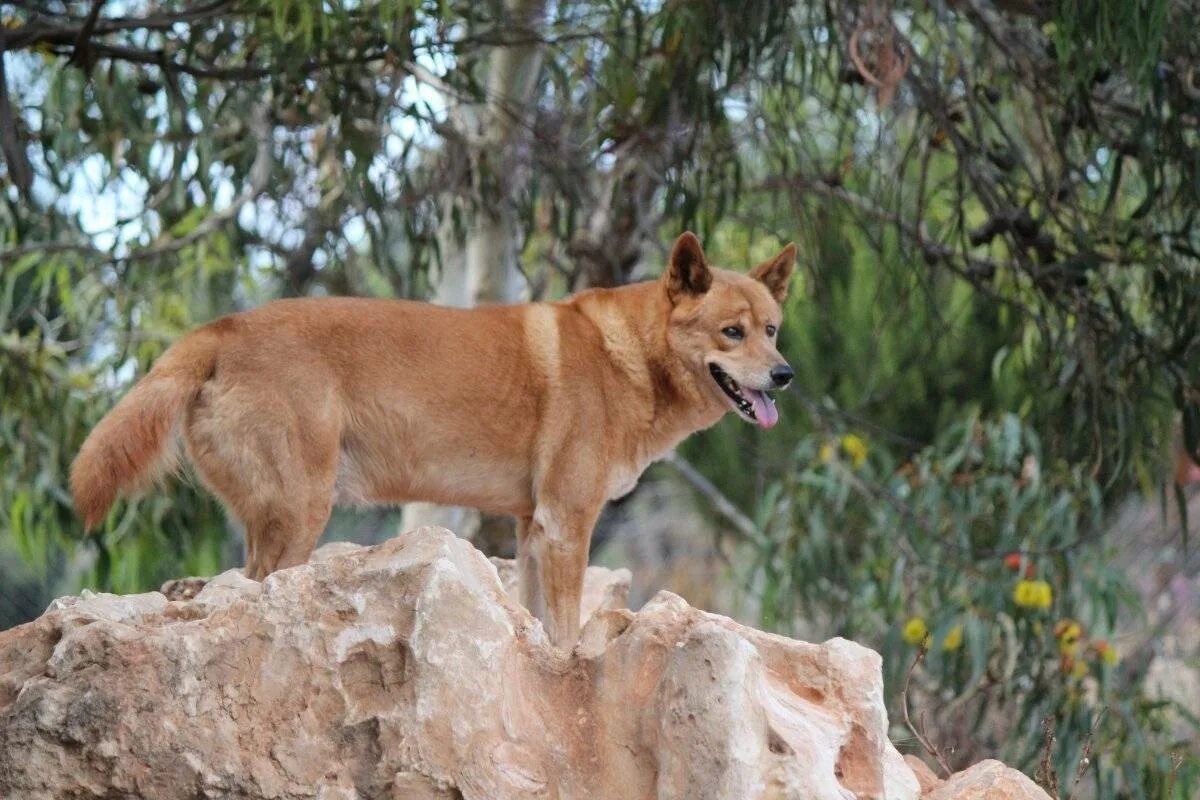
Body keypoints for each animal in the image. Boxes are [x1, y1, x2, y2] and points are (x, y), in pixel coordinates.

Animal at [70, 230, 792, 642]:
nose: (785, 375)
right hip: (301, 514)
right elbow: (564, 635)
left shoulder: (535, 526)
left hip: (273, 520)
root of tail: (223, 327)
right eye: (732, 332)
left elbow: (540, 626)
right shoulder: (567, 522)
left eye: (773, 329)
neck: (631, 356)